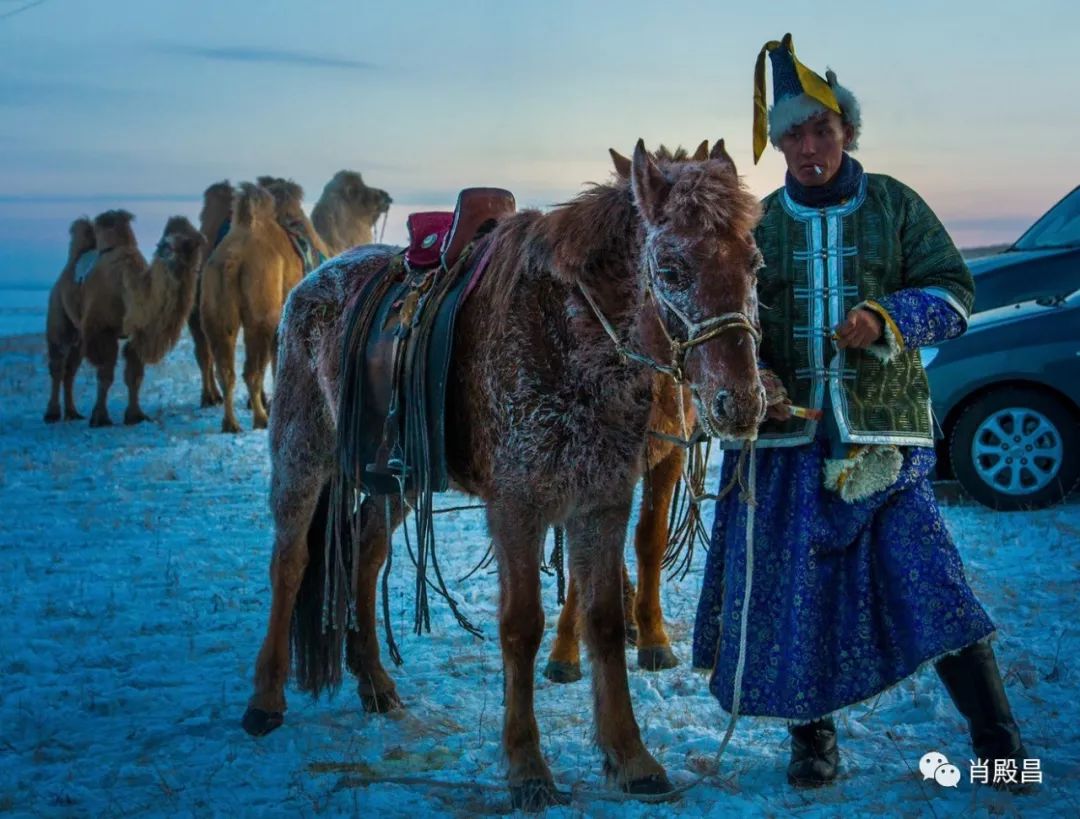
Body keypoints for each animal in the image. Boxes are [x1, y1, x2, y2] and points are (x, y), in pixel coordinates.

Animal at [243, 139, 768, 808]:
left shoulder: (602, 502)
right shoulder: (518, 508)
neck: (572, 335)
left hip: (397, 477)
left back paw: (375, 682)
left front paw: (630, 757)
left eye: (753, 262)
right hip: (302, 452)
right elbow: (521, 627)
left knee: (366, 546)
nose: (740, 402)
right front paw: (528, 769)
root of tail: (314, 278)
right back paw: (265, 699)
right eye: (671, 269)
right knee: (290, 562)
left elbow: (603, 621)